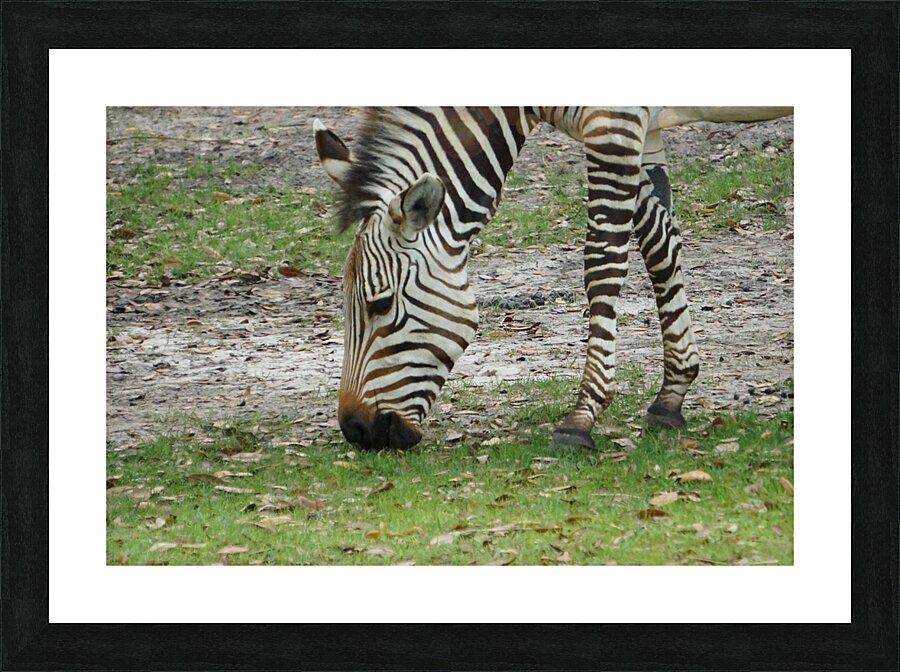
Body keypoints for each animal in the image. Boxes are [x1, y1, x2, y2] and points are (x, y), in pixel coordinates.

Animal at [314, 106, 791, 451]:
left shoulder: (614, 122)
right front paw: (673, 391)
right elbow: (659, 244)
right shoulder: (640, 130)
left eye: (380, 304)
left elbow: (604, 261)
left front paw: (581, 417)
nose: (357, 431)